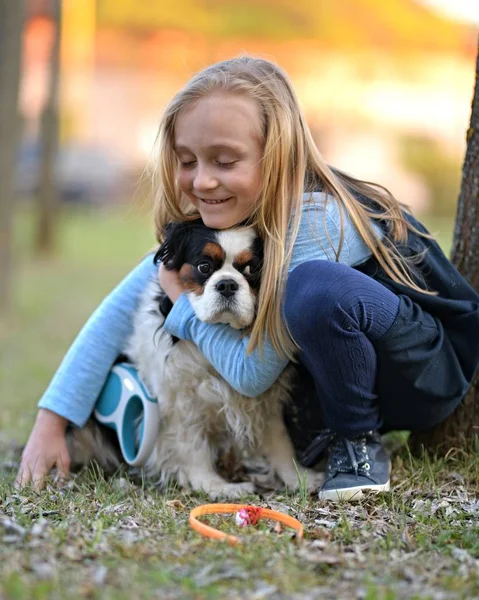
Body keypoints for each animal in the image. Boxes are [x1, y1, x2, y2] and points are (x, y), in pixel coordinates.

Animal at [68, 220, 322, 496]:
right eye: (204, 267)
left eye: (252, 269)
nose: (227, 284)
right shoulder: (178, 403)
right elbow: (192, 447)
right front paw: (216, 486)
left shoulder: (265, 402)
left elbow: (279, 441)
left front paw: (299, 478)